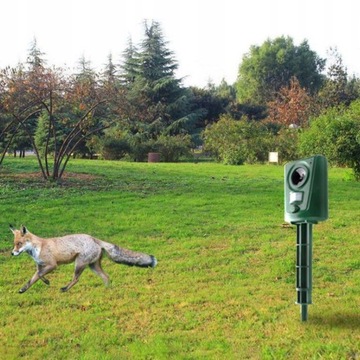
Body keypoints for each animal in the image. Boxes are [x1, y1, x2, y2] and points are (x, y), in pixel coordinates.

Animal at [9, 225, 156, 292]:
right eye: (14, 244)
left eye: (19, 244)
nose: (12, 253)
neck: (38, 247)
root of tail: (94, 238)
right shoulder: (40, 266)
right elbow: (33, 279)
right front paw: (23, 289)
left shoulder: (52, 265)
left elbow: (39, 275)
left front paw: (47, 282)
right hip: (93, 266)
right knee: (106, 276)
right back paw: (107, 289)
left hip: (79, 264)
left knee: (76, 279)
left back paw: (65, 289)